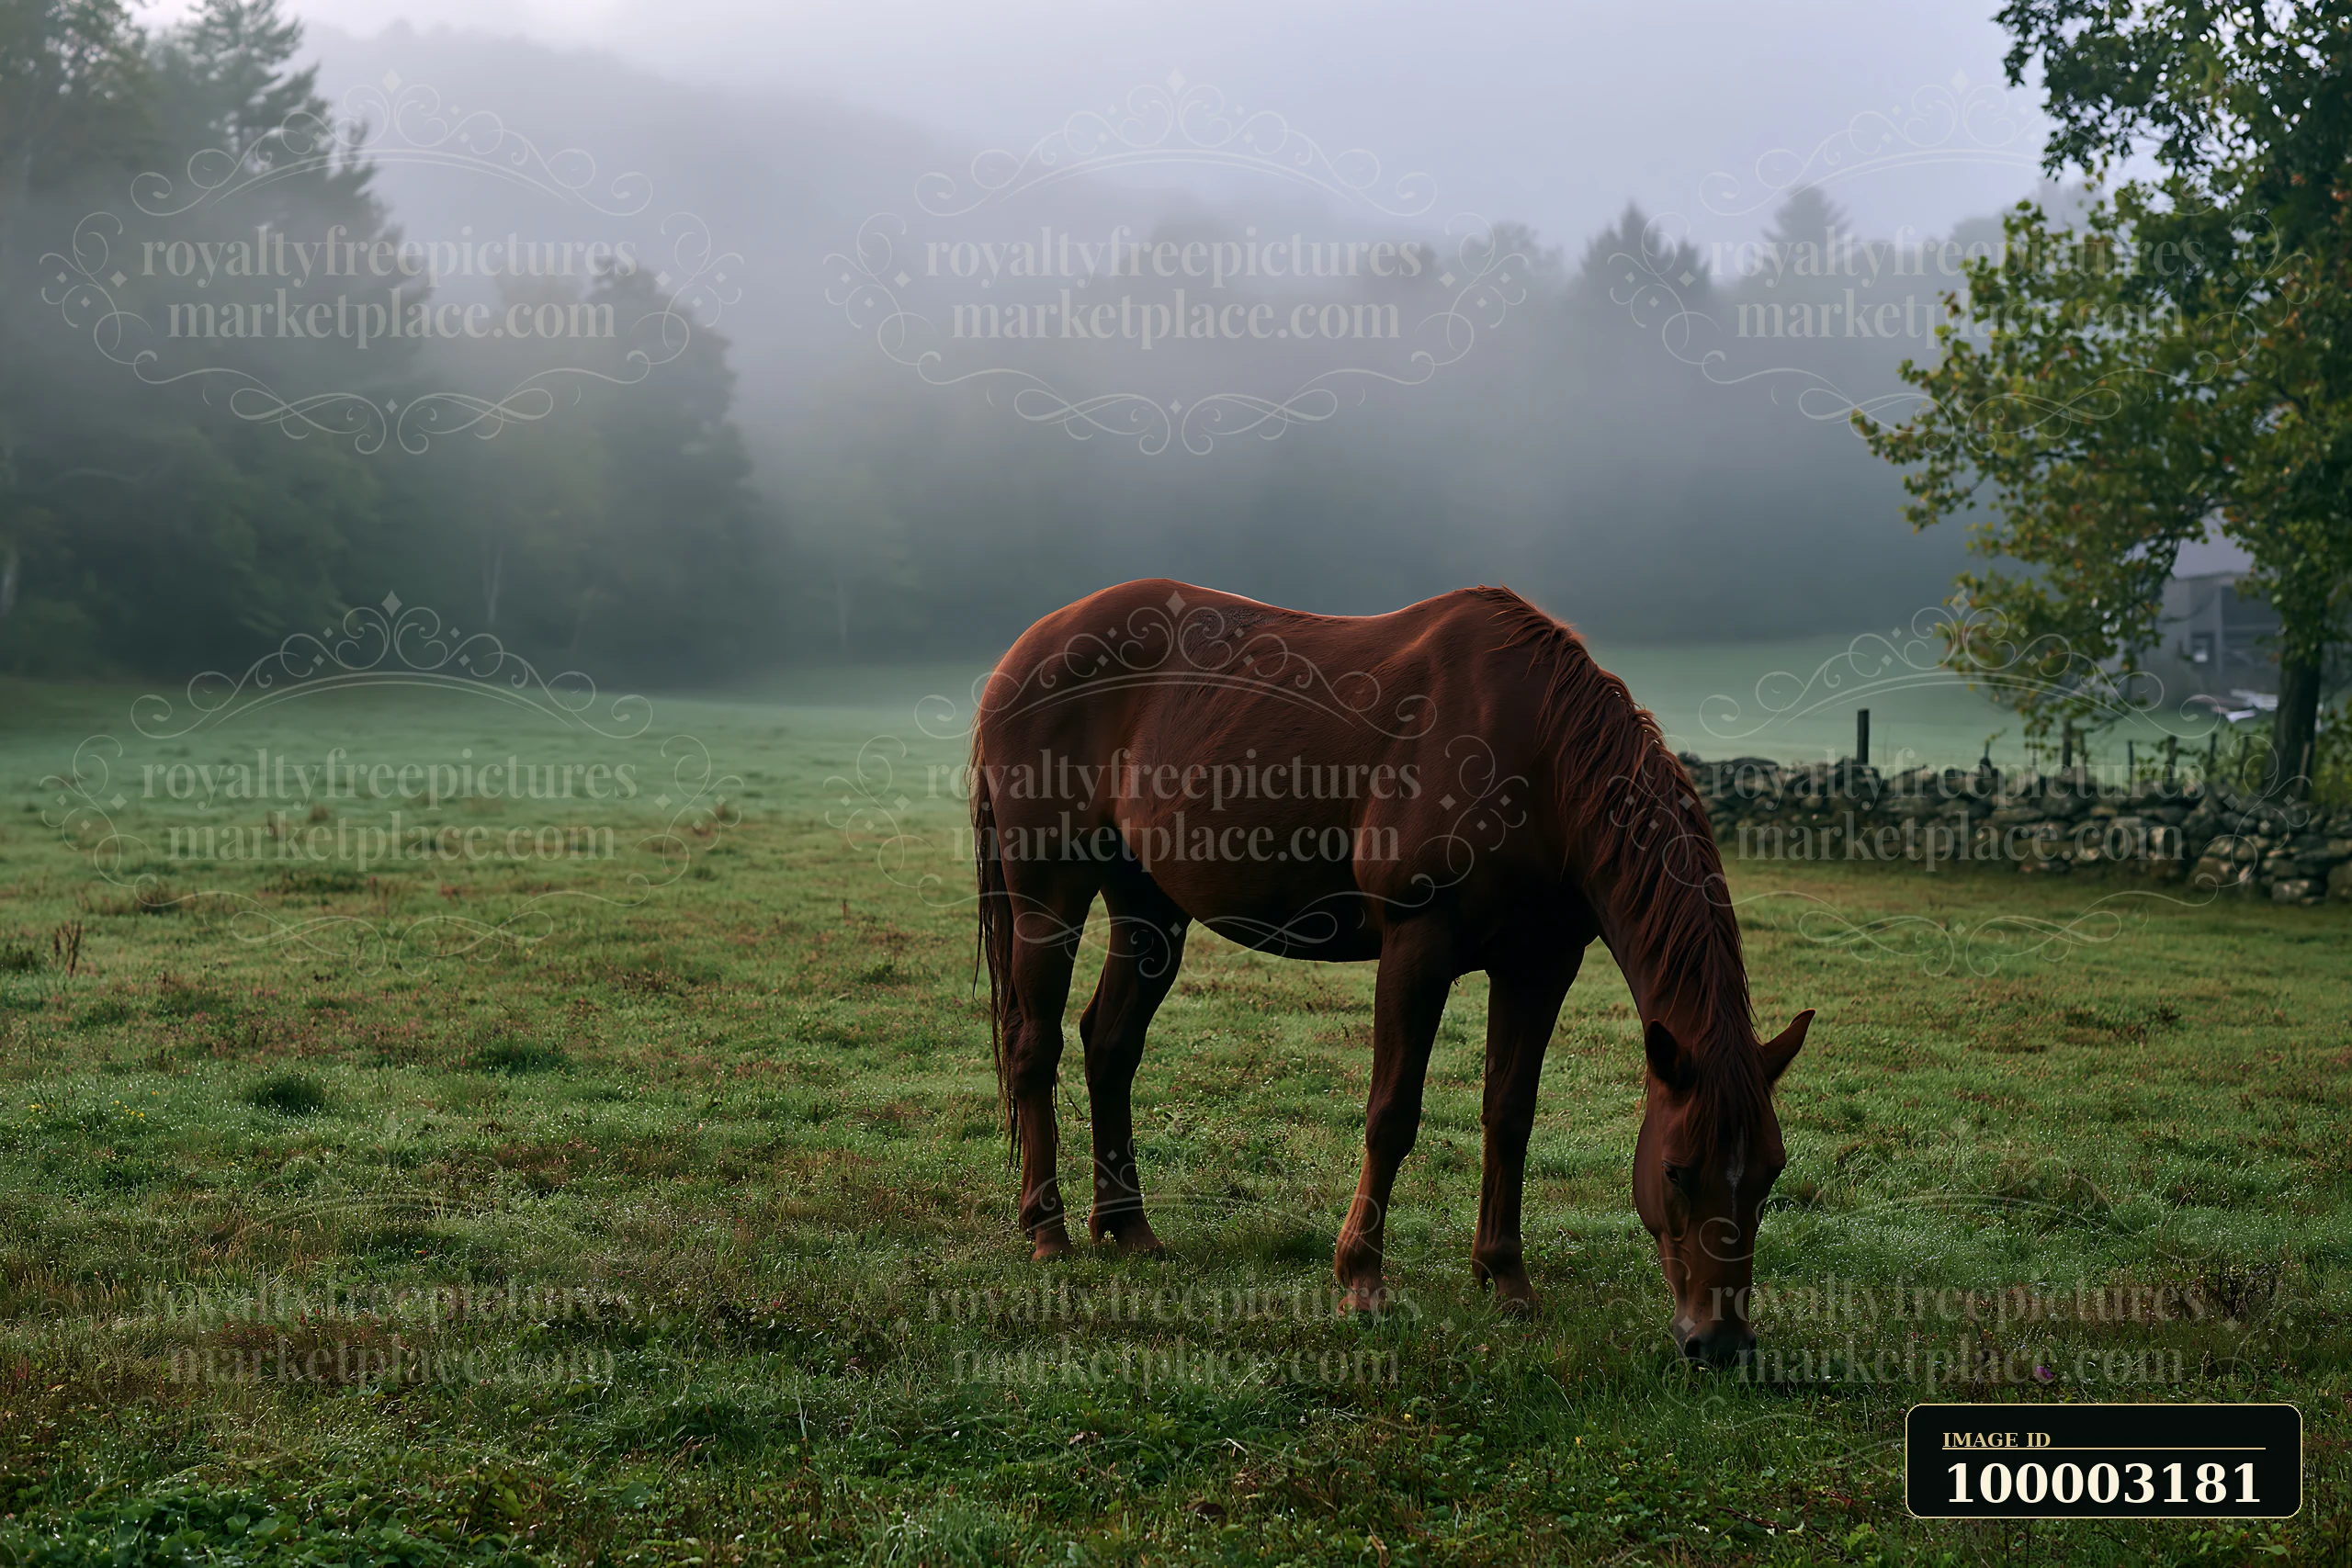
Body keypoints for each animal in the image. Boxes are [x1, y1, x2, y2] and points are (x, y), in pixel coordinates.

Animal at [970, 579, 1812, 1364]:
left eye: (1769, 1172)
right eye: (1676, 1169)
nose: (1721, 1342)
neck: (1535, 755)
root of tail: (1023, 653)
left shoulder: (1539, 966)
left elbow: (1510, 1116)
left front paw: (1505, 1276)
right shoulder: (1418, 944)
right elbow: (1392, 1113)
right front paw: (1361, 1280)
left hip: (1149, 910)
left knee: (1110, 1046)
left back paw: (1129, 1227)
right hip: (1048, 898)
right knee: (1035, 1046)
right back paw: (1048, 1231)